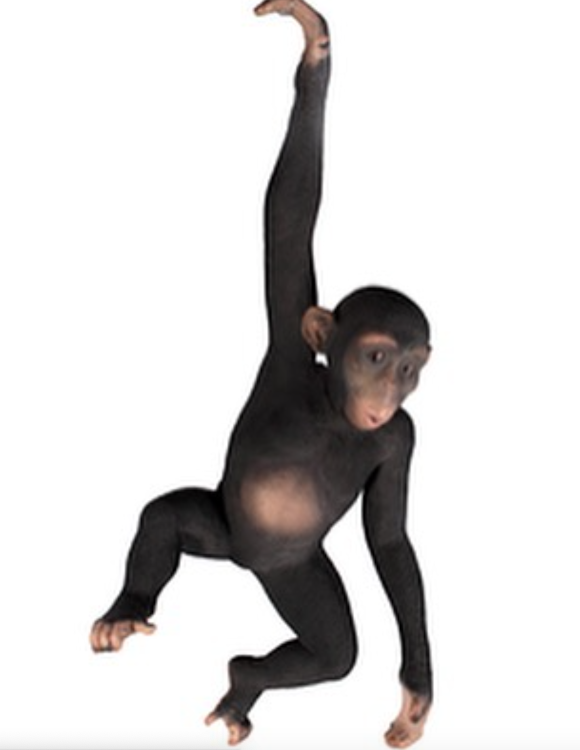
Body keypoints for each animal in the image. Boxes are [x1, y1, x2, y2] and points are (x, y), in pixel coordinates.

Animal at [90, 2, 433, 748]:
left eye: (412, 369)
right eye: (375, 357)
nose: (388, 391)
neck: (334, 410)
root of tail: (246, 562)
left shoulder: (402, 436)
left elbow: (391, 542)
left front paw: (416, 694)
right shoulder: (286, 345)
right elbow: (290, 211)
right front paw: (314, 47)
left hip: (293, 570)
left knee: (331, 651)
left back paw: (244, 679)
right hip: (224, 527)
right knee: (164, 520)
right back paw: (129, 606)